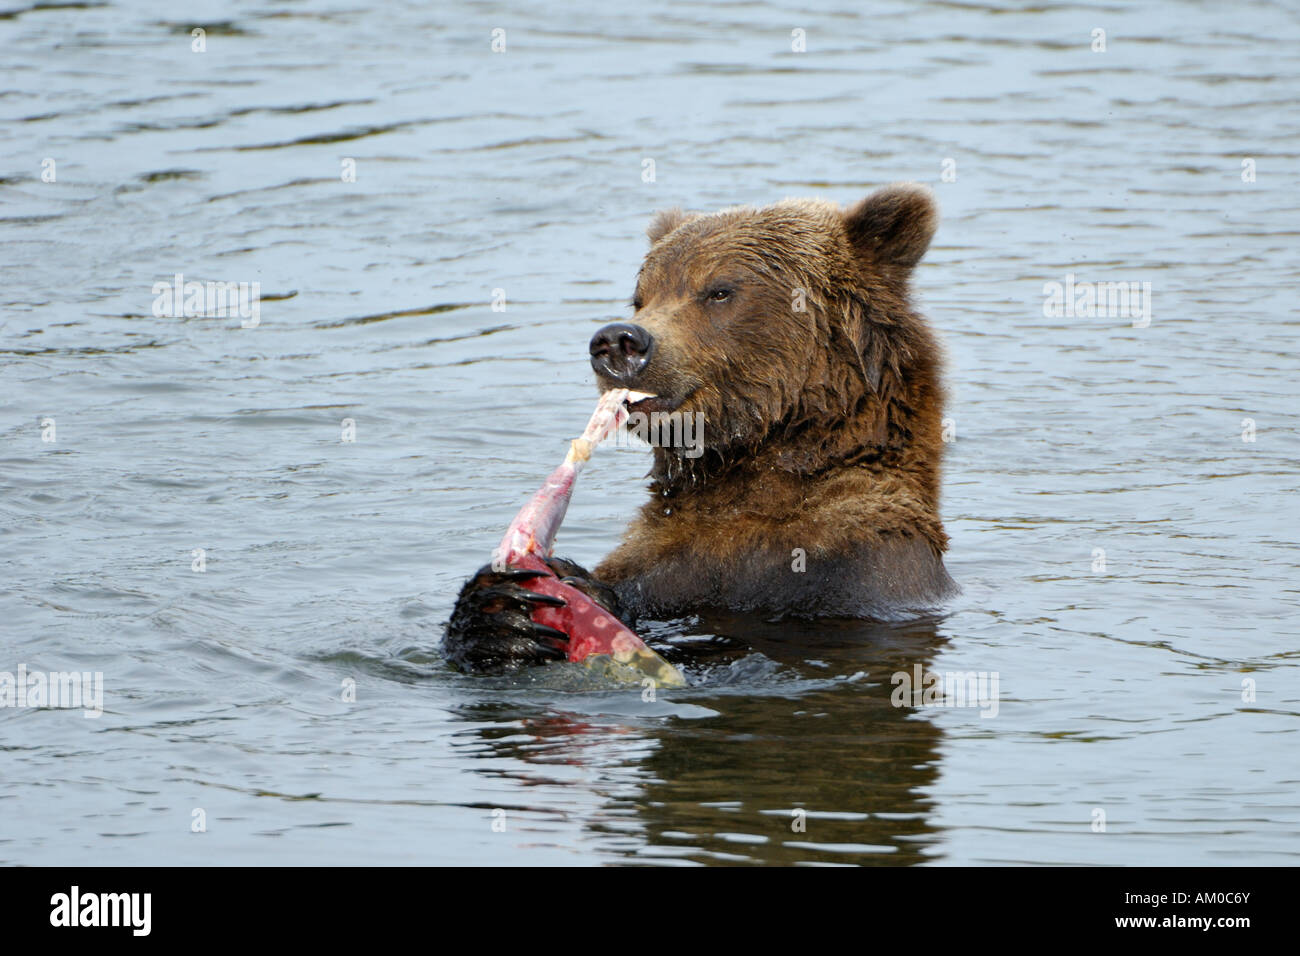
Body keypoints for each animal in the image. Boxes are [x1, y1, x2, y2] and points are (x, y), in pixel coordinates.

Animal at [444, 183, 956, 671]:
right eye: (642, 296)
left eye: (719, 290)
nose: (617, 341)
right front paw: (500, 613)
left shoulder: (846, 570)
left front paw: (581, 589)